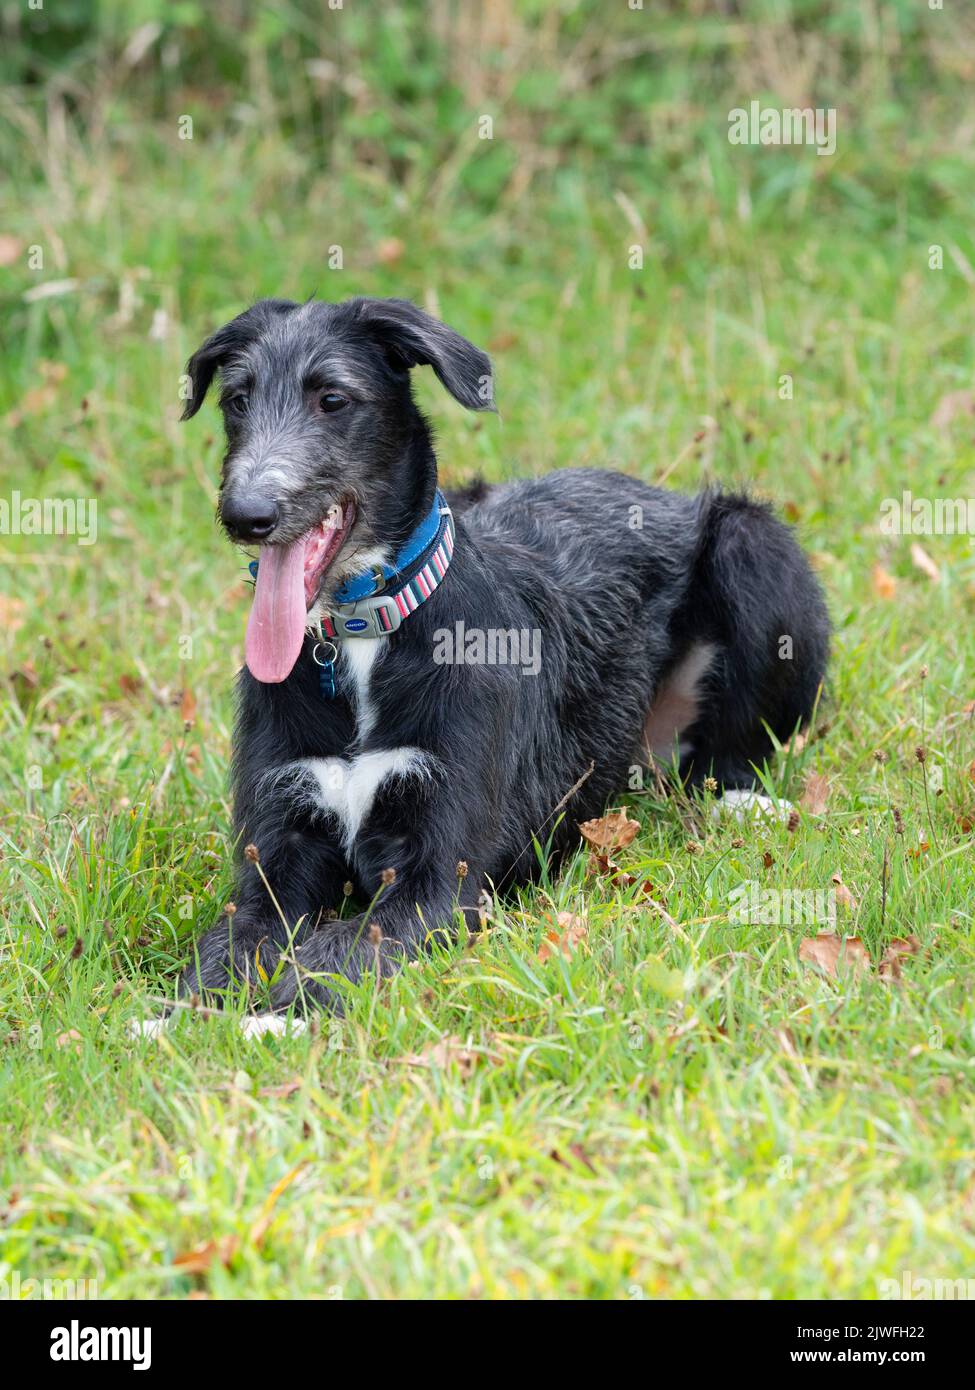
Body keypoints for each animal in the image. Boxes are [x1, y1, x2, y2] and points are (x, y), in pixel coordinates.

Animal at [176, 296, 828, 1011]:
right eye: (237, 400)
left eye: (333, 399)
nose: (245, 515)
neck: (362, 637)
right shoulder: (274, 855)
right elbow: (229, 944)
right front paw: (182, 1015)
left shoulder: (439, 881)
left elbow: (338, 952)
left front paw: (278, 1015)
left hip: (753, 543)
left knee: (731, 753)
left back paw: (745, 802)